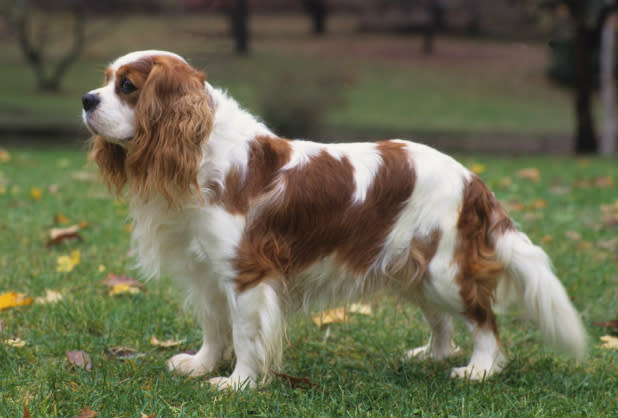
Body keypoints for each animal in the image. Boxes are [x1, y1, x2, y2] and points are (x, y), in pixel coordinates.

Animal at [82, 50, 588, 390]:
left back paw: (480, 369)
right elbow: (214, 325)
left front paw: (238, 383)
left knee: (484, 320)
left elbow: (244, 334)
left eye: (127, 86)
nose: (87, 99)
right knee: (442, 320)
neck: (203, 153)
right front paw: (202, 364)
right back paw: (430, 355)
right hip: (413, 270)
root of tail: (474, 180)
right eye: (105, 80)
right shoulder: (207, 272)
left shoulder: (247, 273)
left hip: (444, 270)